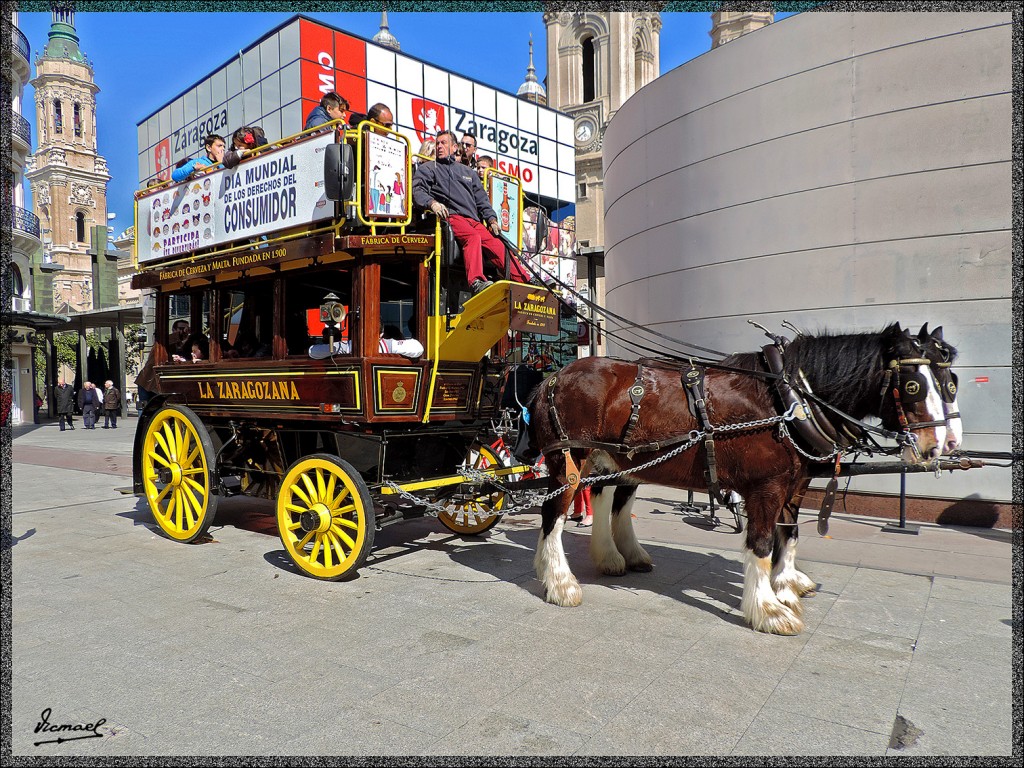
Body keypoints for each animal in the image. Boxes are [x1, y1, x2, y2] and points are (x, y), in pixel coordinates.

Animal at [524, 321, 954, 634]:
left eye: (950, 383)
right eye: (912, 385)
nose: (942, 444)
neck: (789, 401)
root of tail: (555, 377)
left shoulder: (794, 484)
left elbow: (789, 535)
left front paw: (788, 585)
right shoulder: (765, 487)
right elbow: (761, 544)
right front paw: (768, 609)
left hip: (619, 459)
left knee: (605, 499)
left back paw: (616, 556)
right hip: (569, 460)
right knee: (554, 514)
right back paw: (559, 581)